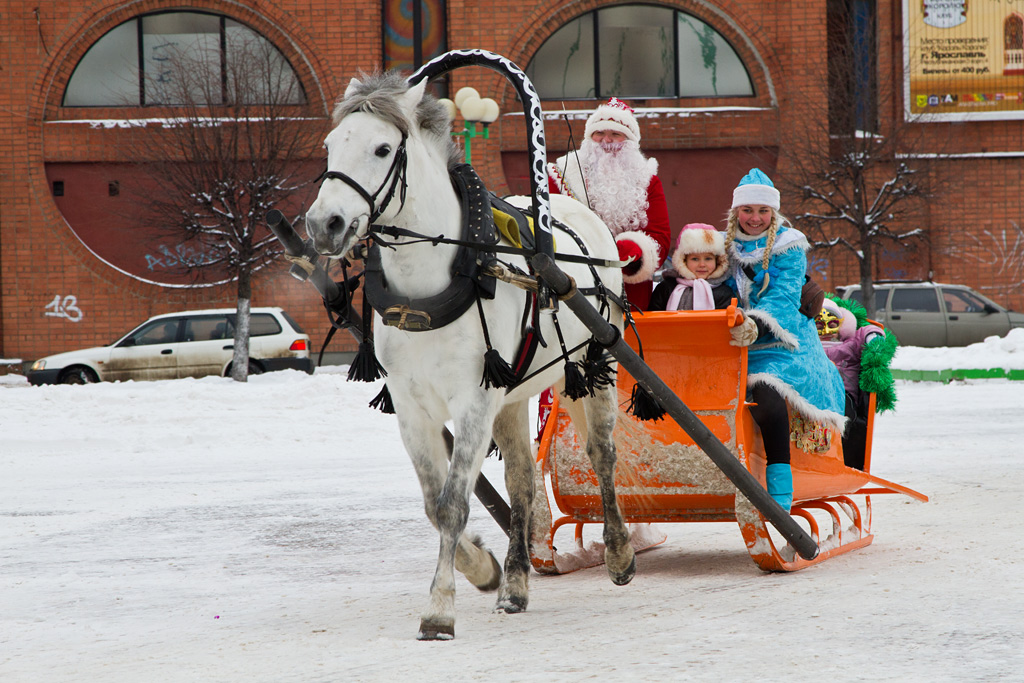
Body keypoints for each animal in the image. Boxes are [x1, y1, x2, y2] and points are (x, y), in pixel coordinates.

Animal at [303, 74, 630, 643]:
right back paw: (516, 584)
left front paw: (438, 609)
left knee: (601, 452)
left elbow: (454, 503)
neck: (431, 280)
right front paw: (484, 569)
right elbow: (434, 504)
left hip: (588, 367)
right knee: (522, 480)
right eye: (329, 146)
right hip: (514, 394)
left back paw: (618, 552)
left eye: (383, 148)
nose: (326, 224)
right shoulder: (414, 409)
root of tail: (576, 210)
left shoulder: (474, 401)